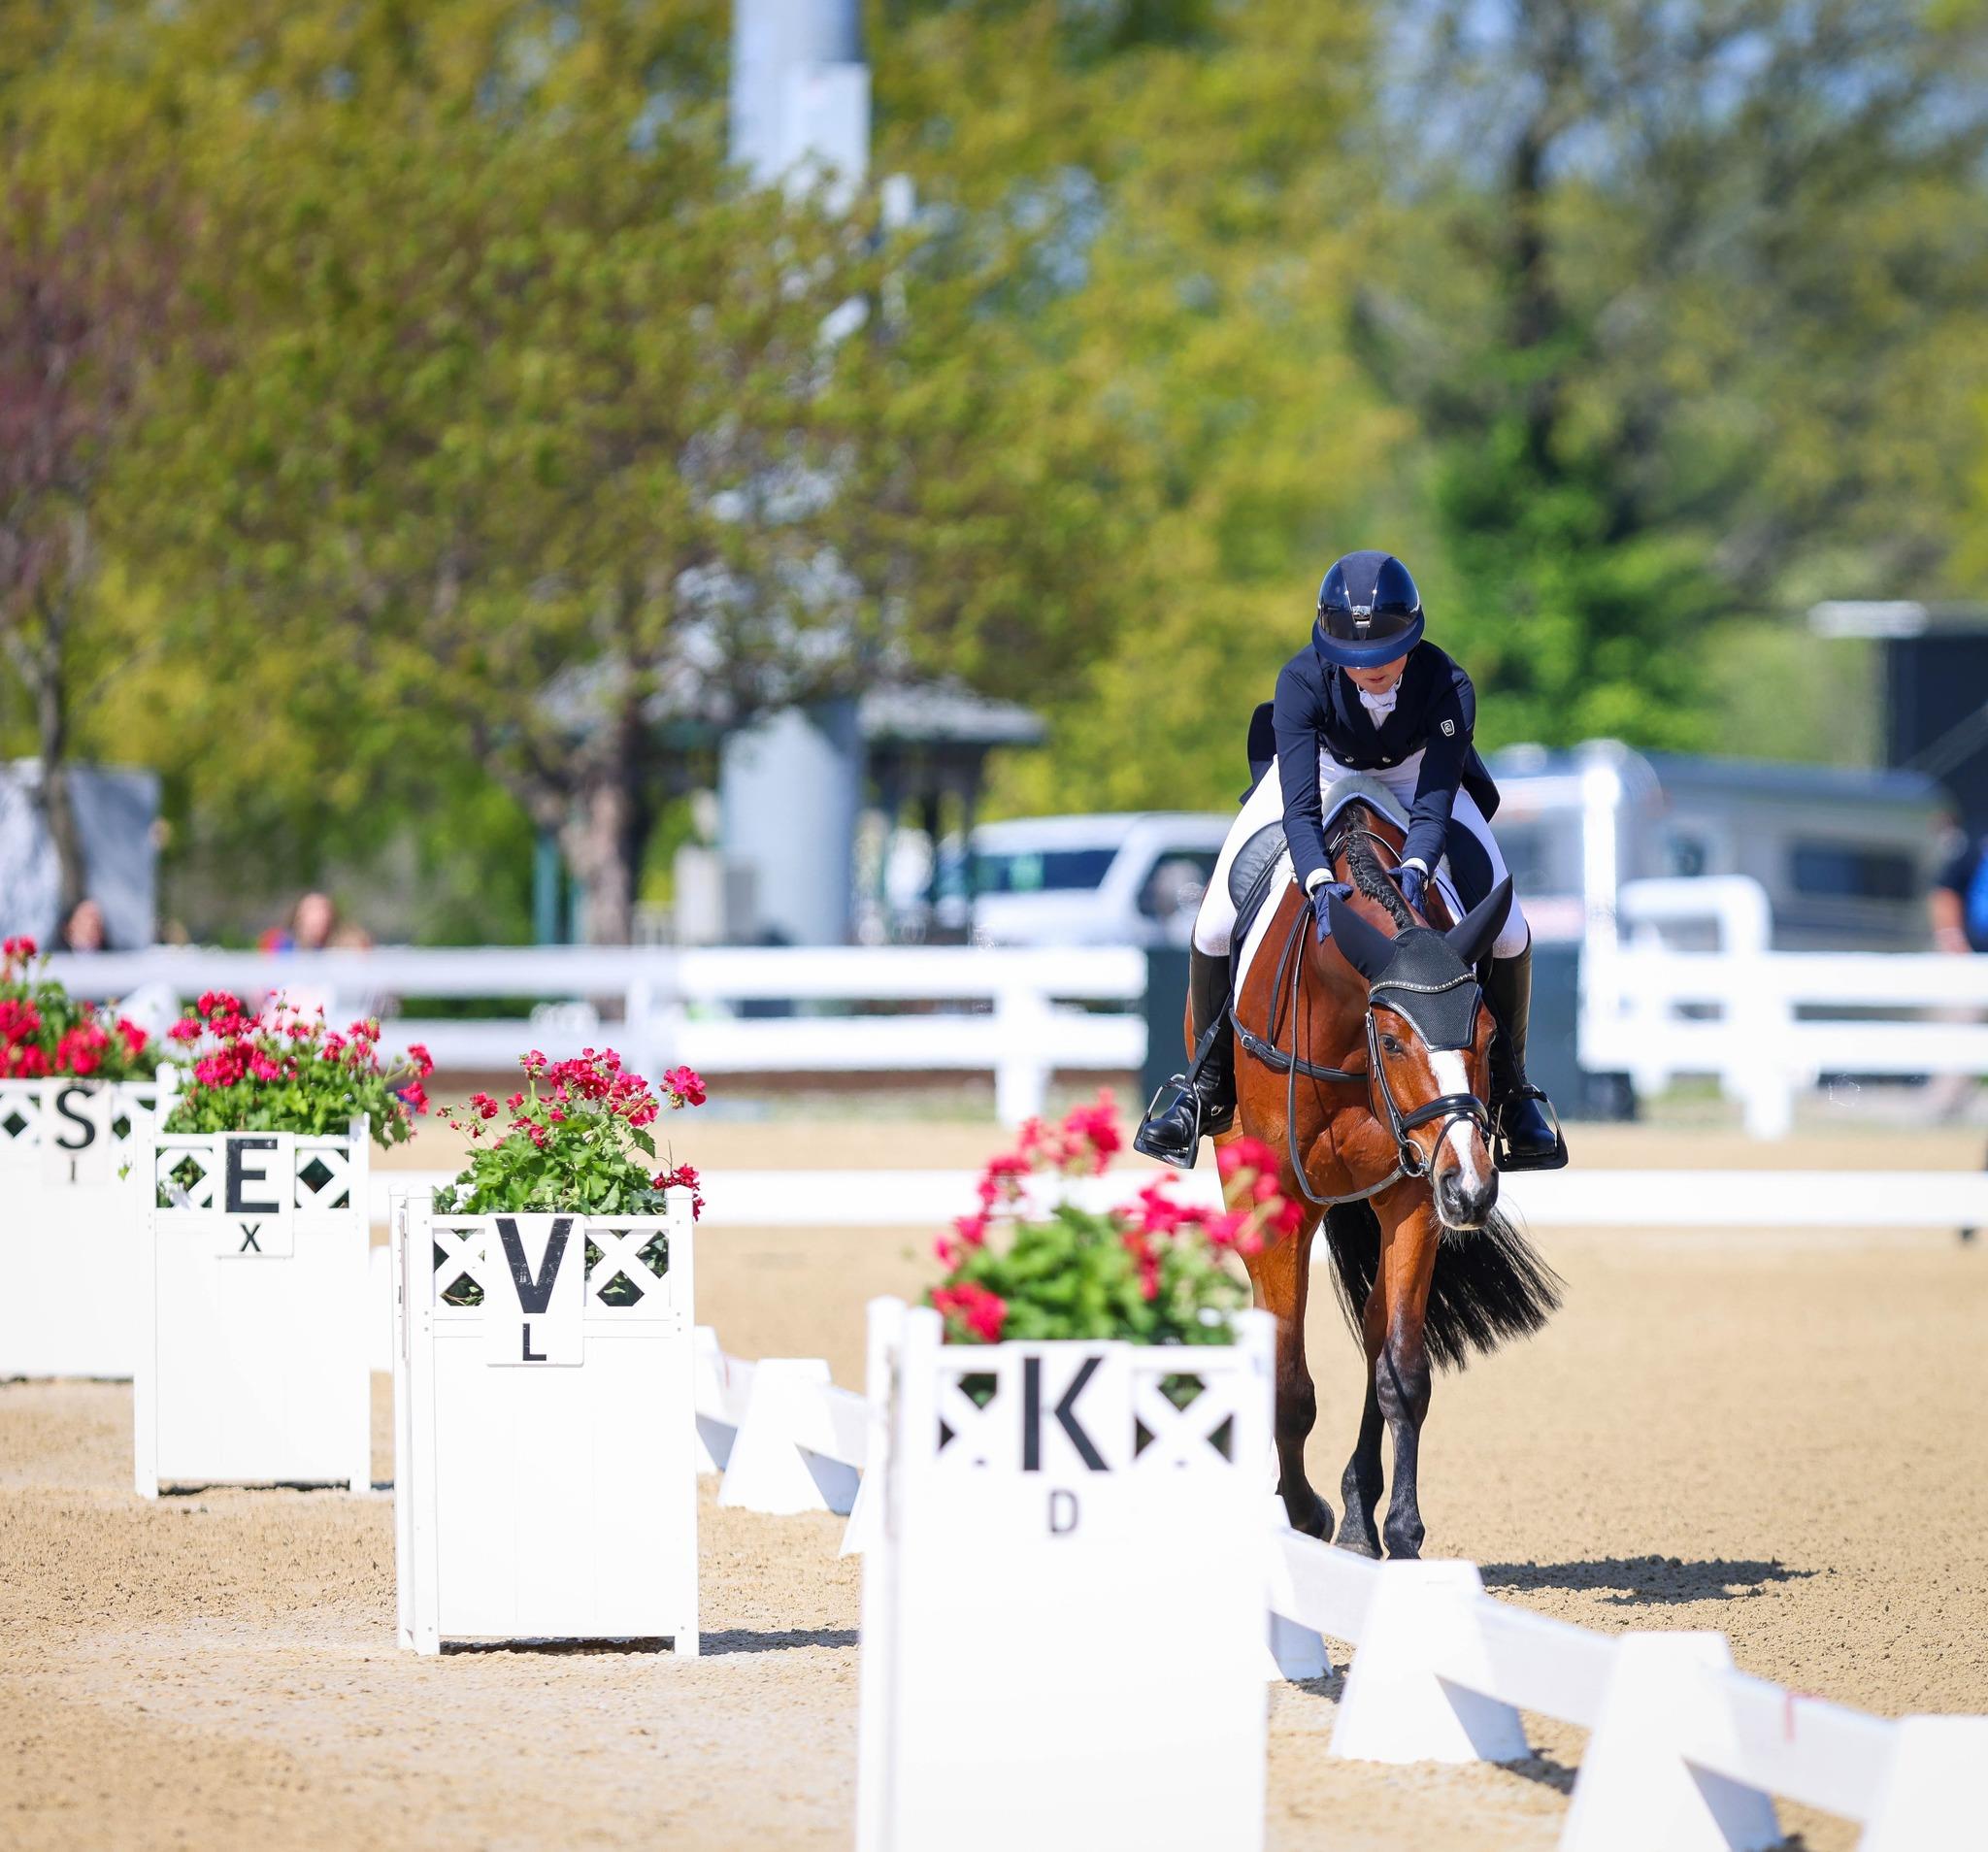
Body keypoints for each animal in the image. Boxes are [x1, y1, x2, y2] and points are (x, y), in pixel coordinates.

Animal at [1209, 803, 1566, 1558]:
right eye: (1395, 1041)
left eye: (1491, 1036)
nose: (1473, 1191)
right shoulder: (1279, 1201)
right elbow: (1289, 1380)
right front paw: (1302, 1515)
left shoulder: (1414, 1197)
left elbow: (1402, 1372)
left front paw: (1399, 1531)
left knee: (1376, 1330)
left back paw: (1358, 1514)